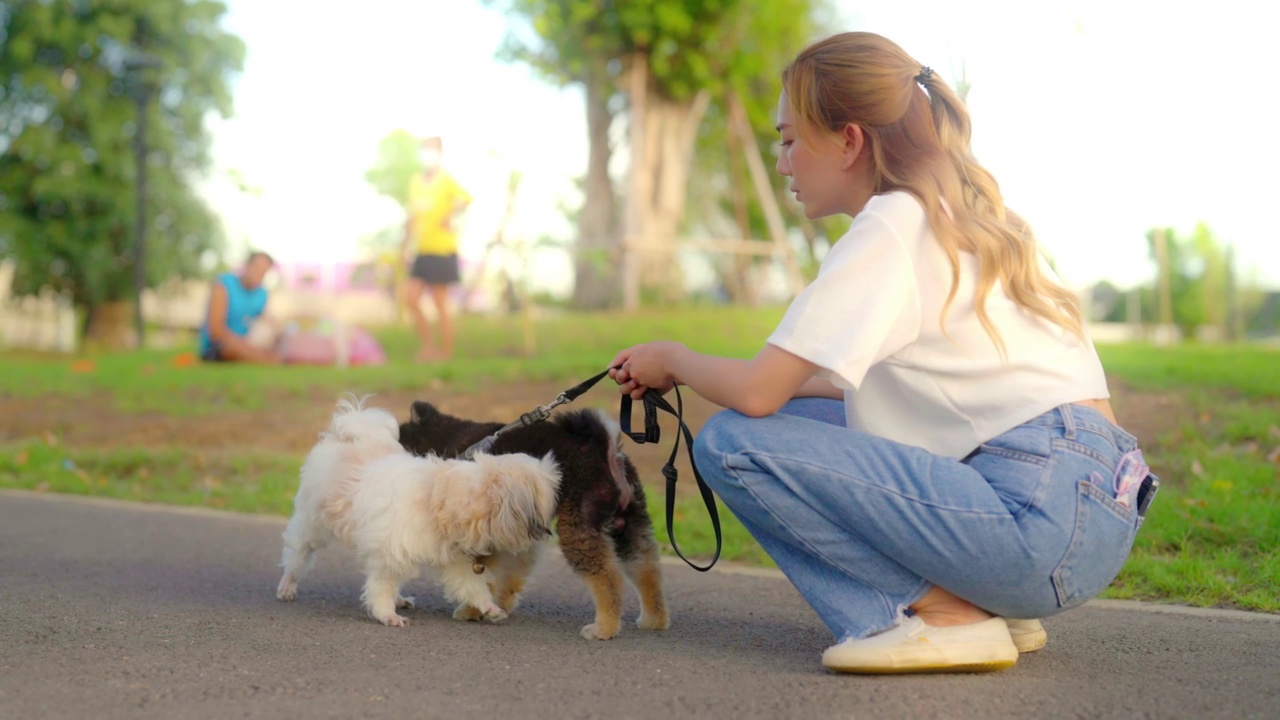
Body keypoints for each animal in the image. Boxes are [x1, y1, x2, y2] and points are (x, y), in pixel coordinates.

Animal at [275, 394, 560, 625]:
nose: (558, 476)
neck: (439, 497)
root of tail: (351, 431)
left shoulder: (453, 559)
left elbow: (472, 585)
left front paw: (489, 608)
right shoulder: (389, 552)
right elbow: (381, 586)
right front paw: (386, 615)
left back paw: (400, 599)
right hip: (312, 523)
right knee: (298, 555)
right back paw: (287, 586)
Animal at [399, 397, 670, 638]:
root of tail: (606, 451)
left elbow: (481, 578)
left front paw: (472, 610)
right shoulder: (516, 535)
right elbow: (510, 574)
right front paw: (500, 605)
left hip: (578, 528)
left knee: (608, 578)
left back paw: (605, 628)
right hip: (631, 524)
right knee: (647, 570)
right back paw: (654, 620)